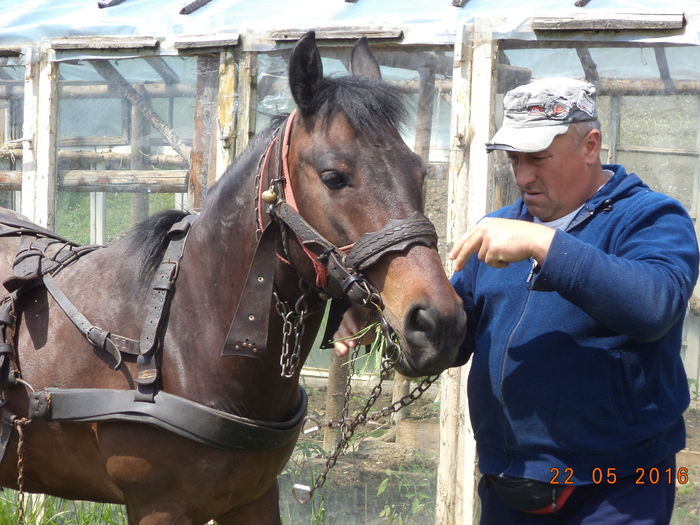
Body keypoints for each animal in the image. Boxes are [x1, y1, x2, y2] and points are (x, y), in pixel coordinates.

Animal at [0, 33, 468, 524]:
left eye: (419, 171)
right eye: (333, 177)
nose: (439, 322)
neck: (178, 336)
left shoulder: (254, 496)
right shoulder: (158, 506)